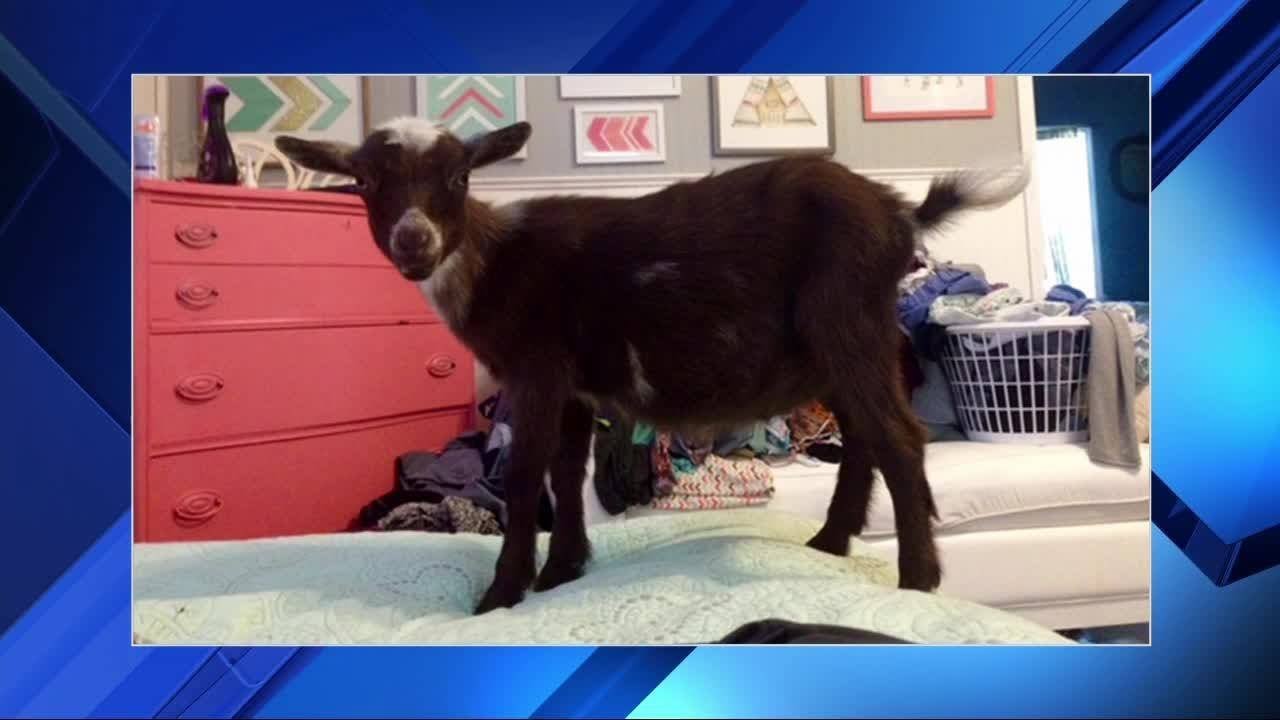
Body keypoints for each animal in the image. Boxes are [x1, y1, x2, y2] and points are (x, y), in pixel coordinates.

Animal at [277, 118, 1030, 614]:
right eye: (365, 181)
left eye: (460, 177)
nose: (415, 242)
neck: (490, 263)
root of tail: (901, 212)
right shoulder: (574, 383)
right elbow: (565, 472)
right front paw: (564, 571)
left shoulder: (537, 366)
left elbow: (525, 478)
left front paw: (501, 593)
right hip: (835, 348)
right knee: (867, 437)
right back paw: (830, 541)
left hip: (847, 319)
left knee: (899, 438)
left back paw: (919, 579)